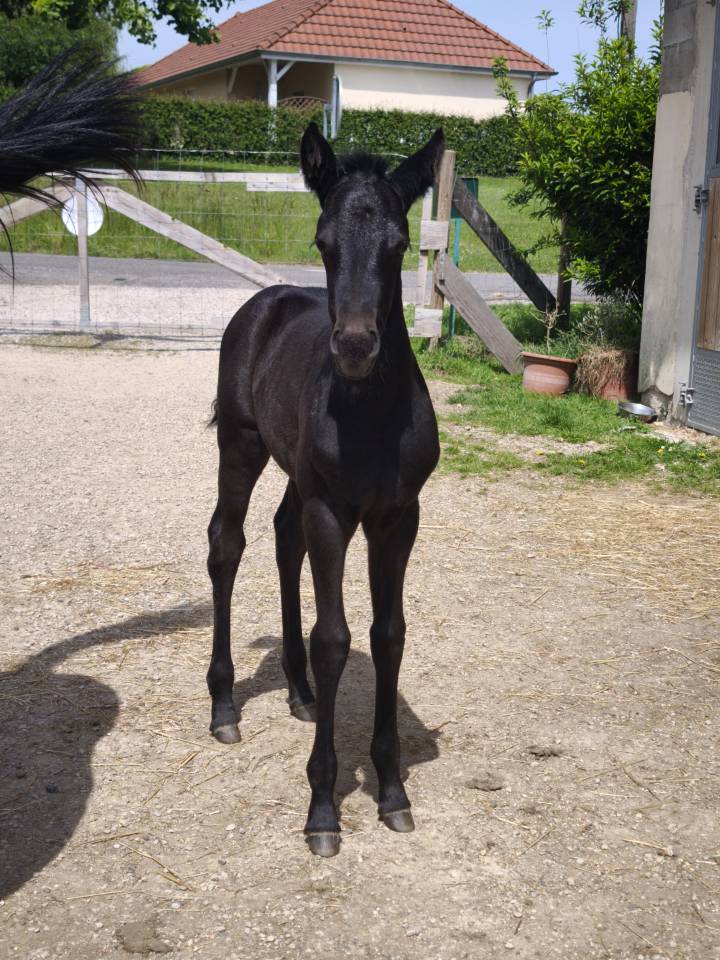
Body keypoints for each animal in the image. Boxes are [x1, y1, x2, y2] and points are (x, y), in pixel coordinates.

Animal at [207, 122, 445, 857]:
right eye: (323, 241)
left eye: (399, 244)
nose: (356, 347)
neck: (370, 413)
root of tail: (266, 300)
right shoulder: (333, 512)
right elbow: (335, 638)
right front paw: (322, 807)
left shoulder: (398, 517)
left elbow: (389, 634)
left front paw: (392, 790)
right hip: (242, 446)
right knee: (226, 544)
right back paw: (223, 705)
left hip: (296, 477)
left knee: (283, 539)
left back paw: (299, 691)